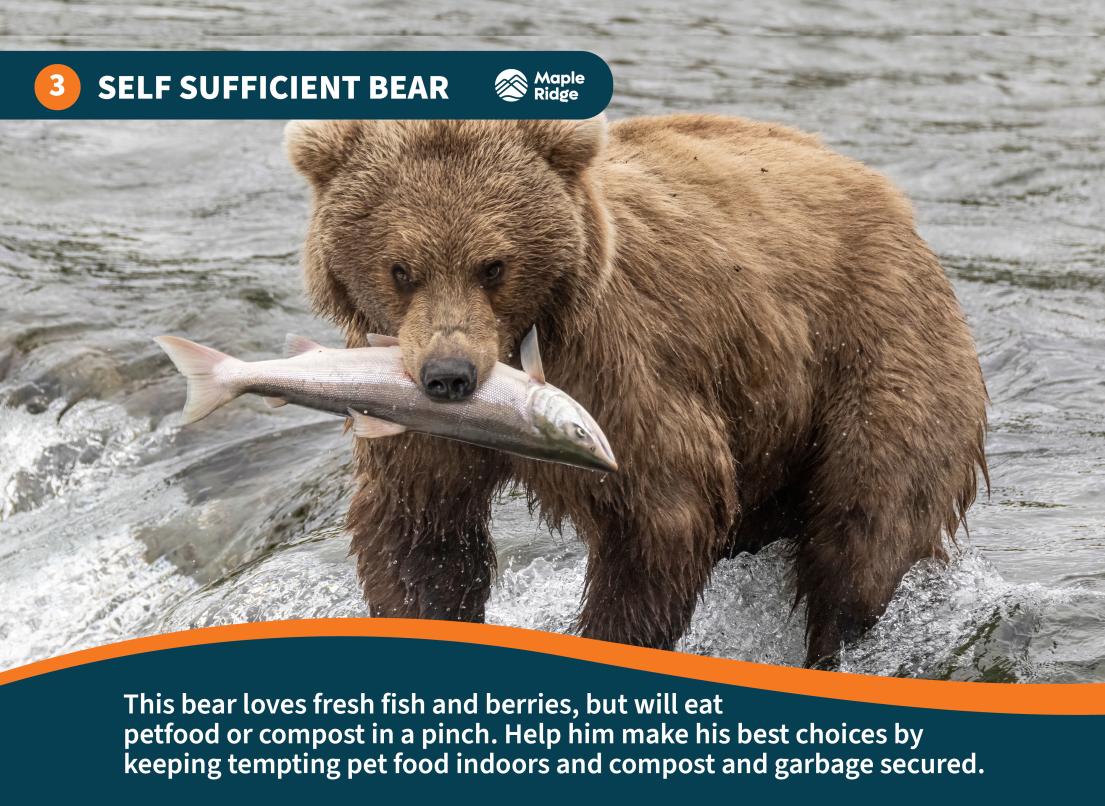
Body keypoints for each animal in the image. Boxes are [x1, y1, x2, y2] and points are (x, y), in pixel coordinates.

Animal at [284, 114, 989, 666]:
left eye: (494, 265)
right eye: (402, 268)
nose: (449, 376)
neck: (518, 345)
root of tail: (891, 199)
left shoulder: (617, 369)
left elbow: (659, 511)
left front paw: (608, 634)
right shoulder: (405, 406)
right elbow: (423, 528)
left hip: (874, 350)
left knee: (865, 523)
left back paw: (829, 644)